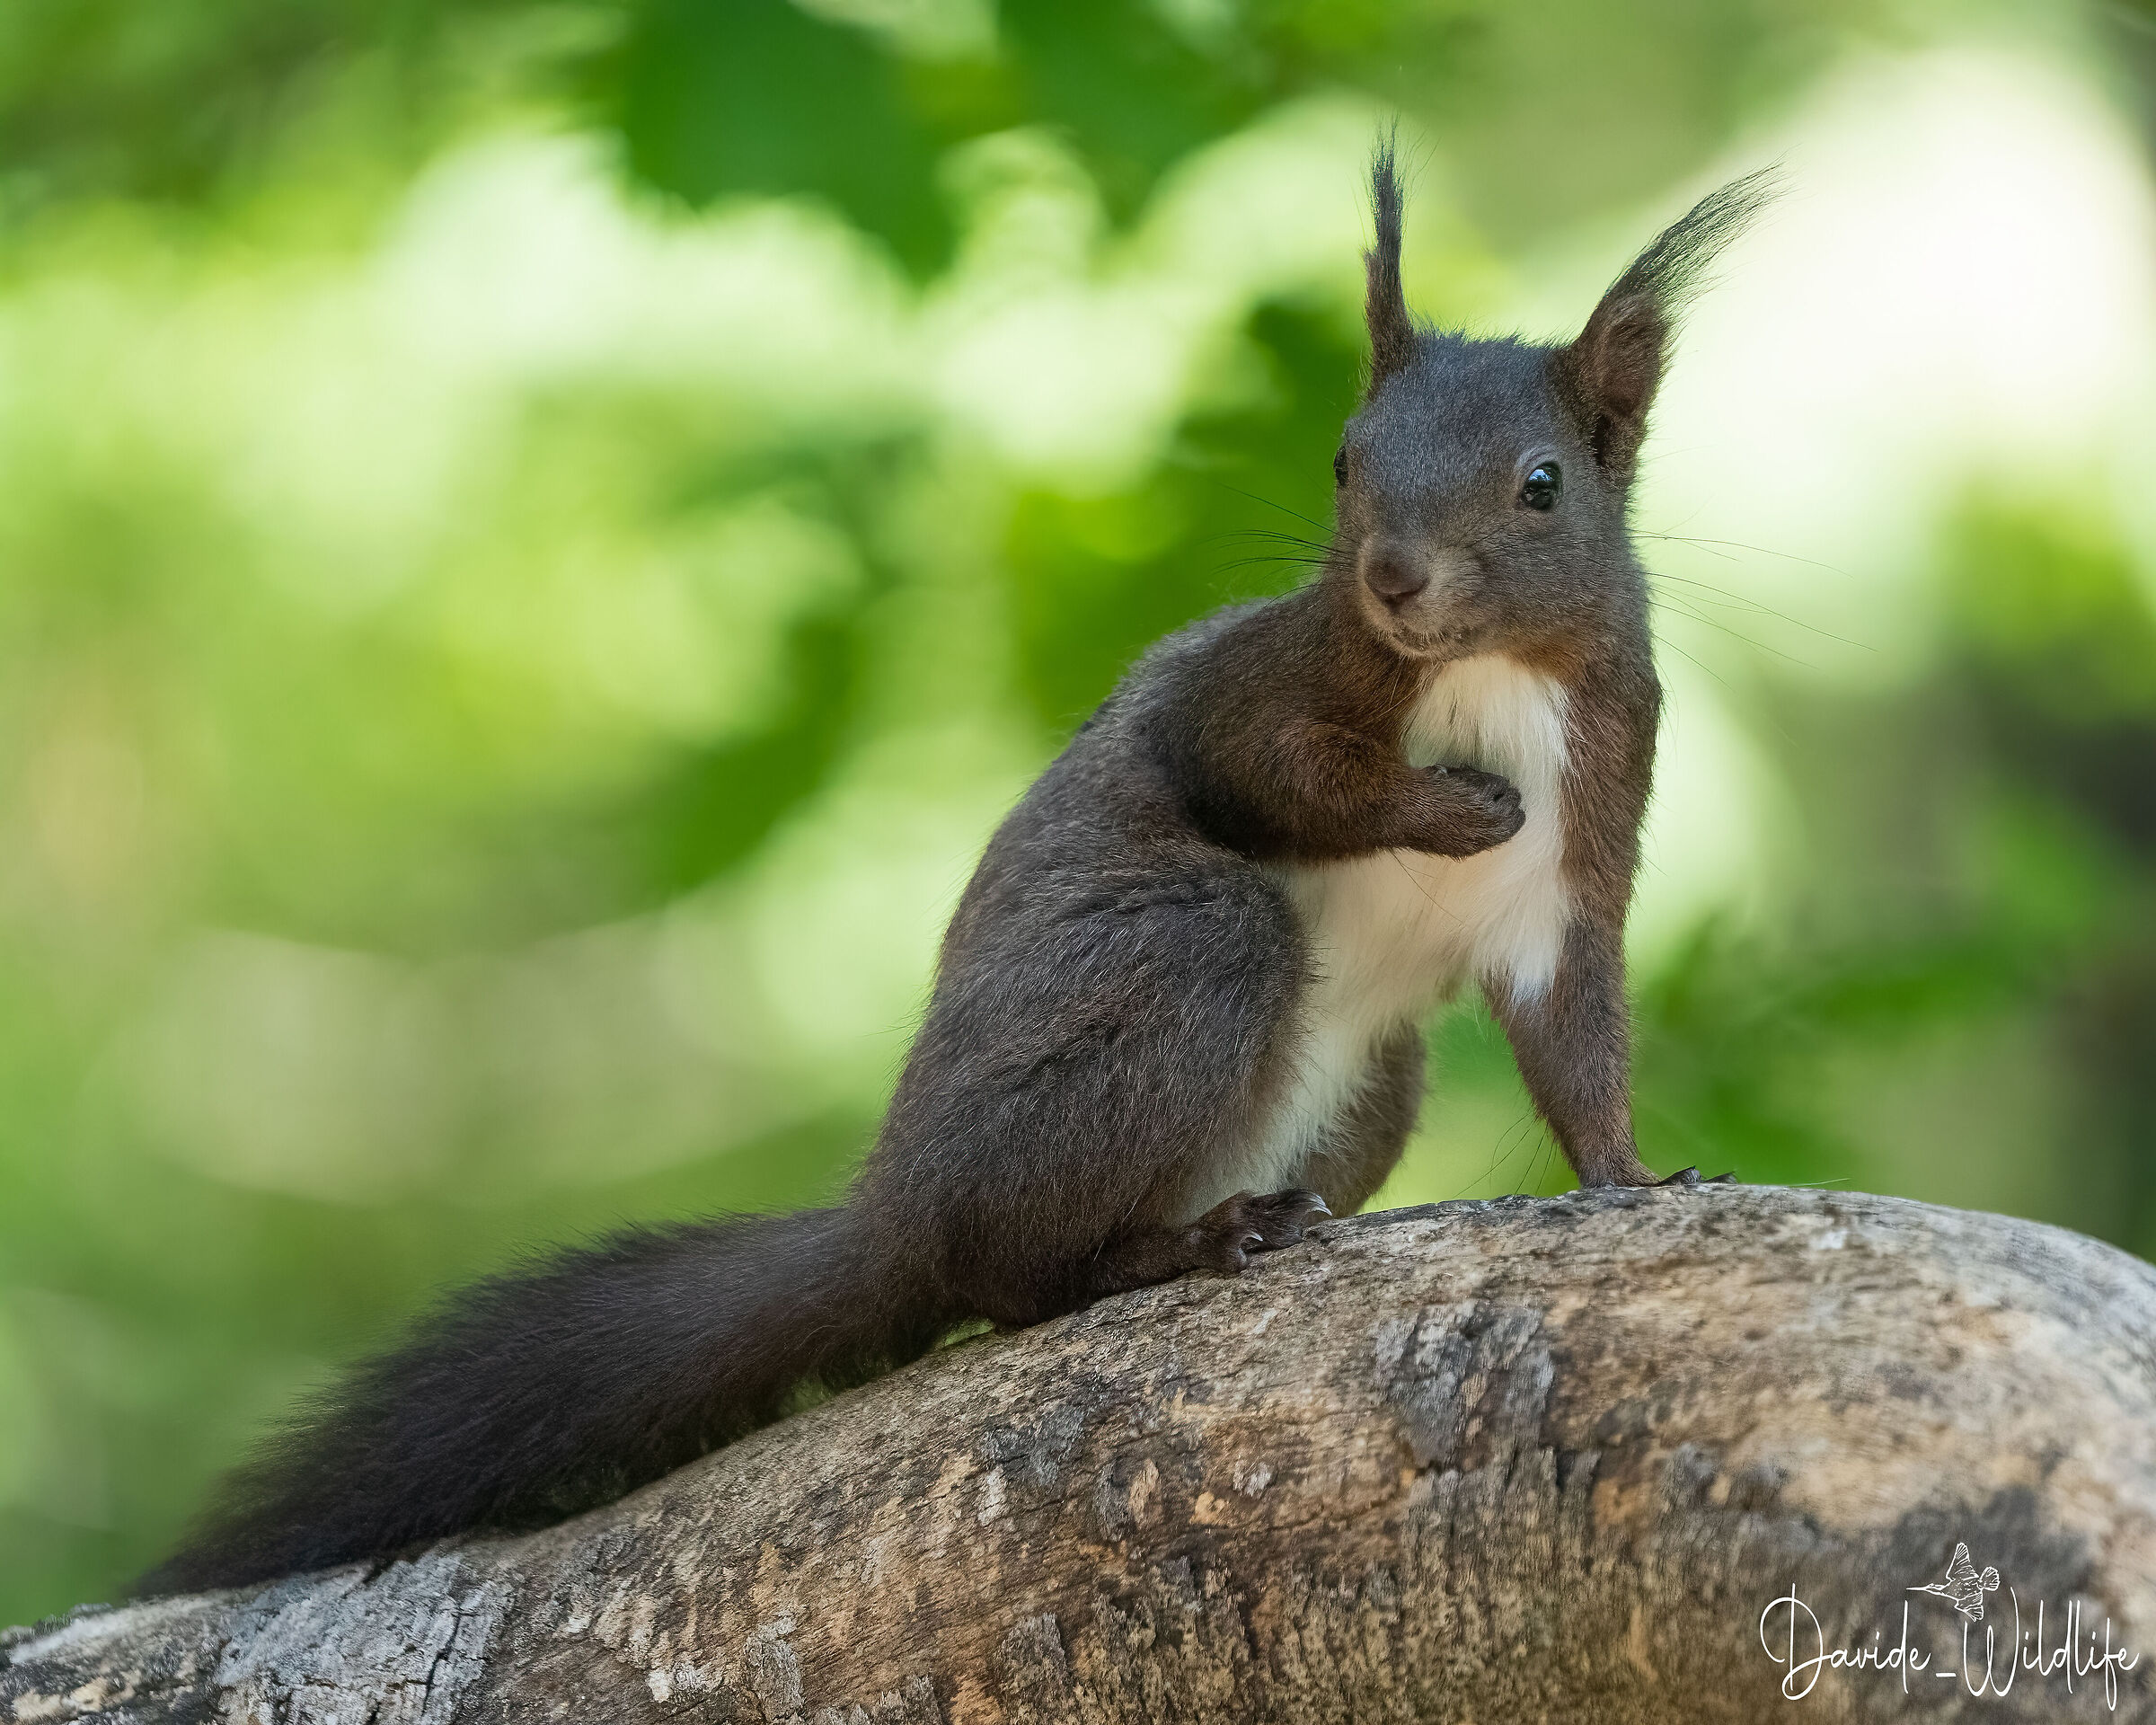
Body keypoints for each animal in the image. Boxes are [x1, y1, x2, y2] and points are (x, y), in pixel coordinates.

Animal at [143, 147, 1768, 1595]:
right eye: (1343, 459)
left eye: (1542, 485)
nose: (1393, 579)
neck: (1488, 679)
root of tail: (898, 1205)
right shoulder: (1258, 683)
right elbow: (1265, 773)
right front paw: (1443, 808)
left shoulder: (1588, 846)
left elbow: (1576, 1041)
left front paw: (1641, 1175)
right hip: (1175, 968)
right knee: (1013, 1276)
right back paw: (1180, 1244)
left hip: (1368, 1091)